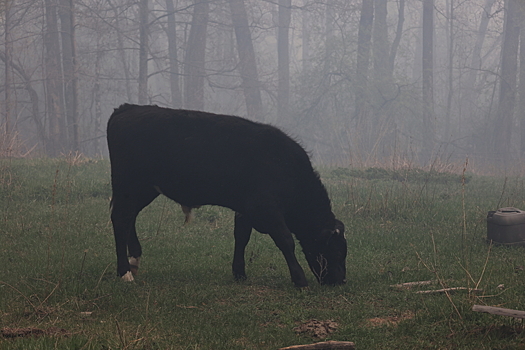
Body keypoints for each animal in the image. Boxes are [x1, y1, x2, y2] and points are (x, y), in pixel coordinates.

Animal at [105, 104, 344, 288]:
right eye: (336, 249)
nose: (340, 281)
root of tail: (128, 108)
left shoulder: (246, 209)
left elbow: (241, 236)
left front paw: (239, 273)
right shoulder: (266, 209)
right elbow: (286, 240)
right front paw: (299, 279)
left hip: (141, 190)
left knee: (129, 218)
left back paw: (134, 261)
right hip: (131, 186)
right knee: (121, 219)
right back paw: (124, 272)